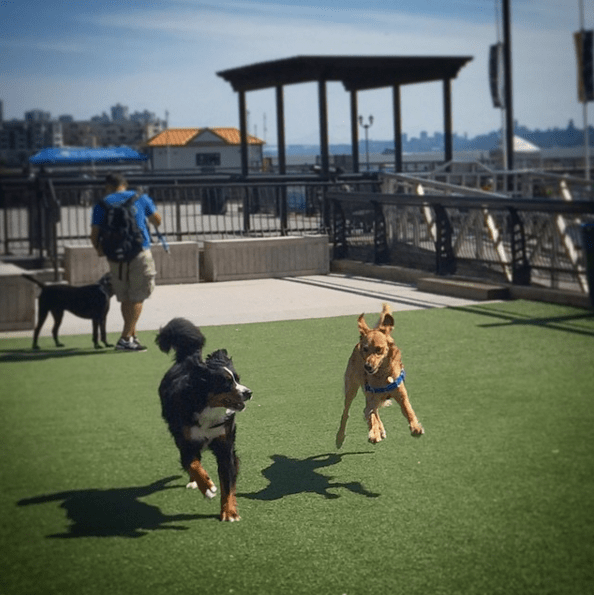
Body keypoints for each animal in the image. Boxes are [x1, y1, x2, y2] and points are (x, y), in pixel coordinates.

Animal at [154, 316, 251, 520]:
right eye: (226, 382)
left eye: (237, 379)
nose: (248, 393)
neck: (208, 409)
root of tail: (188, 359)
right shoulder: (186, 442)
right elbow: (193, 465)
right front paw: (206, 486)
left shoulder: (225, 447)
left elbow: (227, 484)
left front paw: (229, 512)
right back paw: (194, 482)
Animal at [336, 304, 424, 450]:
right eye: (365, 349)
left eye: (379, 349)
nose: (367, 367)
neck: (382, 375)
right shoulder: (371, 397)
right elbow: (371, 416)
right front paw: (374, 433)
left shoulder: (401, 394)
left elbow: (408, 409)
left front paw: (415, 426)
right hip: (351, 388)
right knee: (347, 412)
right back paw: (340, 437)